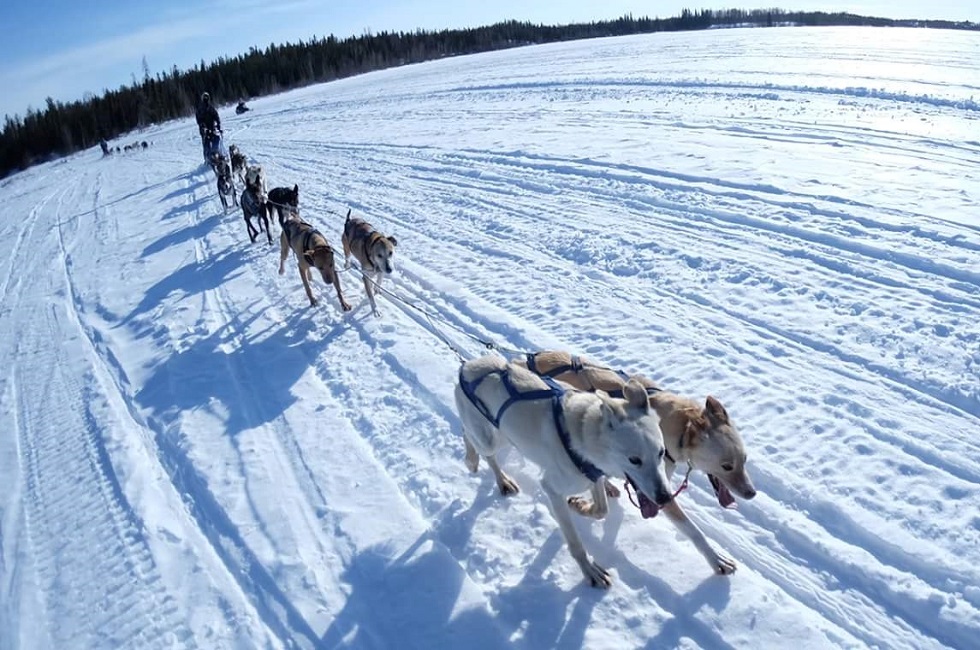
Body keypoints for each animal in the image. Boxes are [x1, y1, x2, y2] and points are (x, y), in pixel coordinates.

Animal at [520, 350, 756, 572]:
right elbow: (693, 530)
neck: (677, 427)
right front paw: (716, 559)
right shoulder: (657, 489)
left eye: (744, 459)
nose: (752, 493)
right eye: (727, 466)